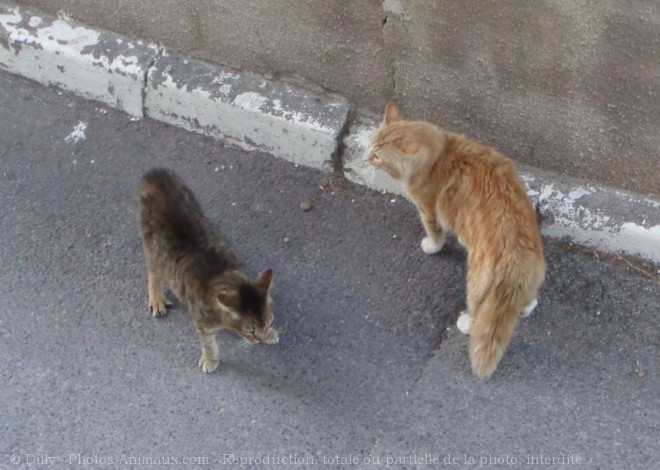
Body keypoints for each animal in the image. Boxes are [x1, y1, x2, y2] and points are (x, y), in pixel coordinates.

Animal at [135, 167, 278, 372]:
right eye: (250, 330)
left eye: (268, 322)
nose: (258, 340)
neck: (225, 277)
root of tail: (155, 173)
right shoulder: (201, 323)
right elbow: (209, 344)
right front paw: (211, 360)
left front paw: (269, 335)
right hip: (151, 248)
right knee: (153, 272)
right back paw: (157, 299)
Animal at [366, 103, 548, 378]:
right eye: (370, 145)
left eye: (377, 157)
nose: (365, 157)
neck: (441, 150)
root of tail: (515, 259)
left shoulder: (428, 209)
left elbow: (435, 233)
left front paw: (431, 246)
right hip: (530, 281)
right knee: (527, 303)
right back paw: (526, 307)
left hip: (476, 284)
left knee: (477, 314)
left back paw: (465, 323)